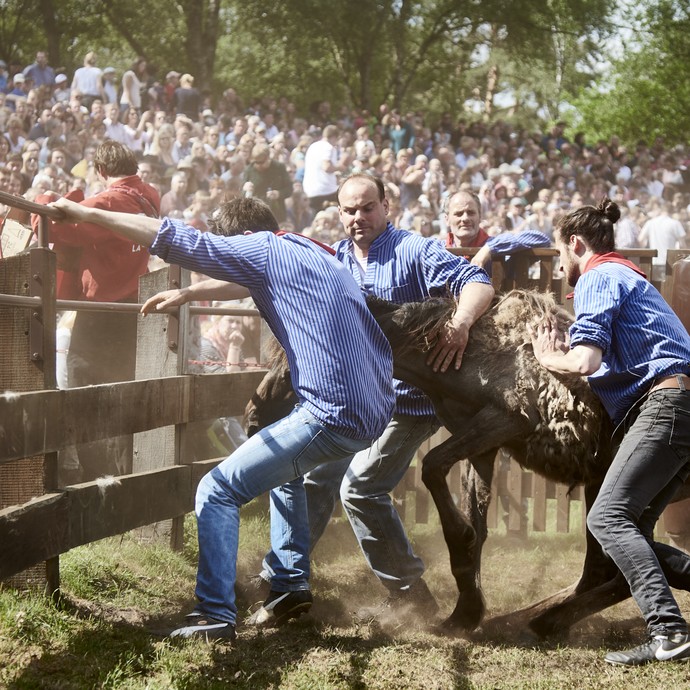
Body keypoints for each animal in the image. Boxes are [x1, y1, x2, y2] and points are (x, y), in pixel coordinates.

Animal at [245, 288, 684, 636]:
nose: (254, 413)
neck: (472, 357)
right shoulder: (482, 445)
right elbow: (474, 525)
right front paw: (465, 611)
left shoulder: (506, 420)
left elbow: (434, 470)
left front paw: (467, 595)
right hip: (606, 487)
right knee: (601, 569)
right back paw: (532, 617)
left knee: (615, 570)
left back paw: (543, 621)